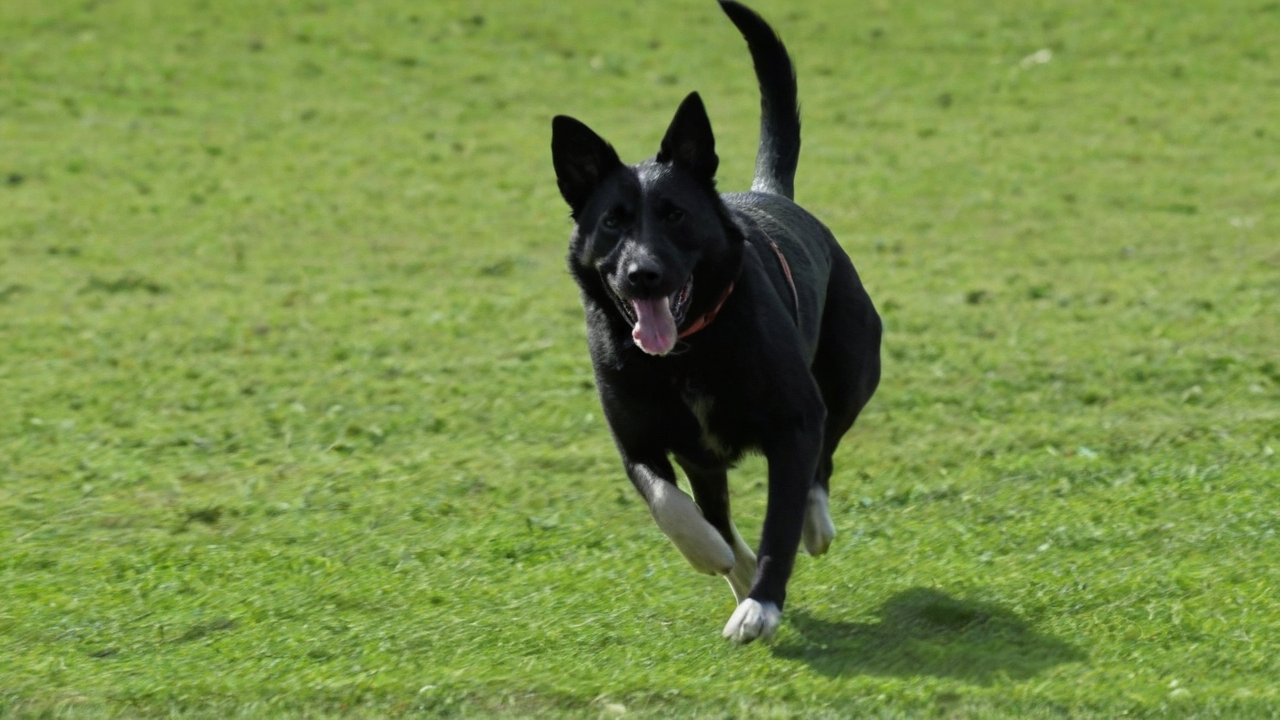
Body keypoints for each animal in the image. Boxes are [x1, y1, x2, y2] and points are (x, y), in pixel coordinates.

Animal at [550, 0, 880, 638]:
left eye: (675, 214)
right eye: (613, 222)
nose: (643, 274)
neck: (687, 353)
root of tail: (771, 193)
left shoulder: (794, 422)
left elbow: (780, 518)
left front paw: (761, 604)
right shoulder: (639, 442)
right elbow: (672, 506)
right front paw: (717, 557)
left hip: (854, 370)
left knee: (826, 452)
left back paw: (815, 524)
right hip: (704, 456)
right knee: (715, 505)